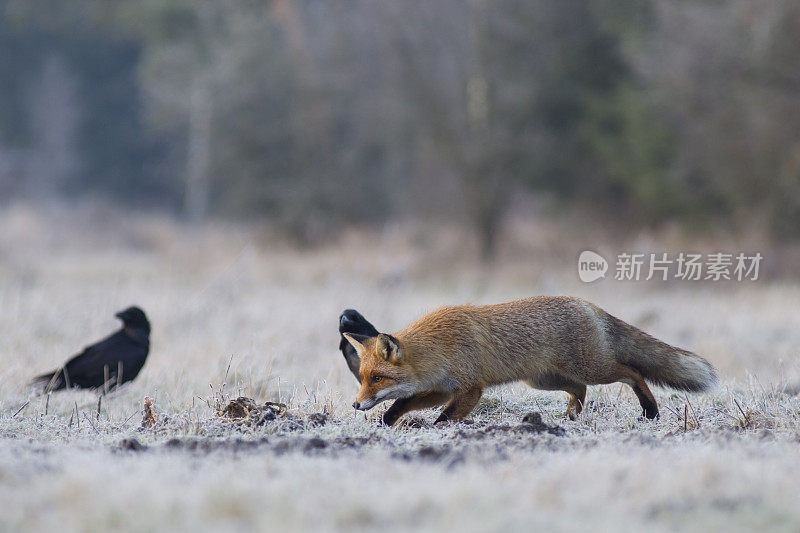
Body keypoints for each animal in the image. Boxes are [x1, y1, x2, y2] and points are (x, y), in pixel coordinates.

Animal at [344, 296, 720, 424]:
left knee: (633, 372)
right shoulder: (441, 387)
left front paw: (439, 431)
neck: (439, 349)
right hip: (544, 380)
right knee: (580, 390)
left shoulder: (470, 389)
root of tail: (587, 304)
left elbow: (445, 418)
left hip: (593, 368)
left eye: (376, 379)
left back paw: (650, 411)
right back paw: (571, 416)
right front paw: (386, 422)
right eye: (362, 378)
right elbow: (402, 404)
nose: (355, 404)